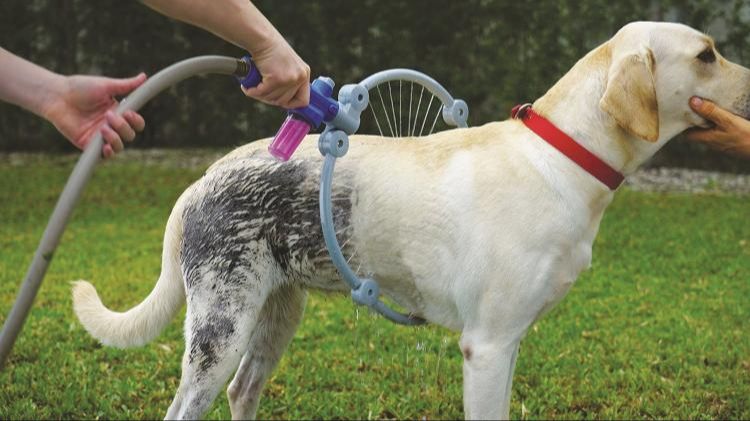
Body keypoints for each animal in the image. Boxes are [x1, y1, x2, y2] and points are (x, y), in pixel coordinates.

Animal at [70, 21, 750, 418]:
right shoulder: (487, 346)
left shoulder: (509, 343)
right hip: (220, 326)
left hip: (277, 314)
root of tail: (204, 179)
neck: (560, 156)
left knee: (243, 391)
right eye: (708, 54)